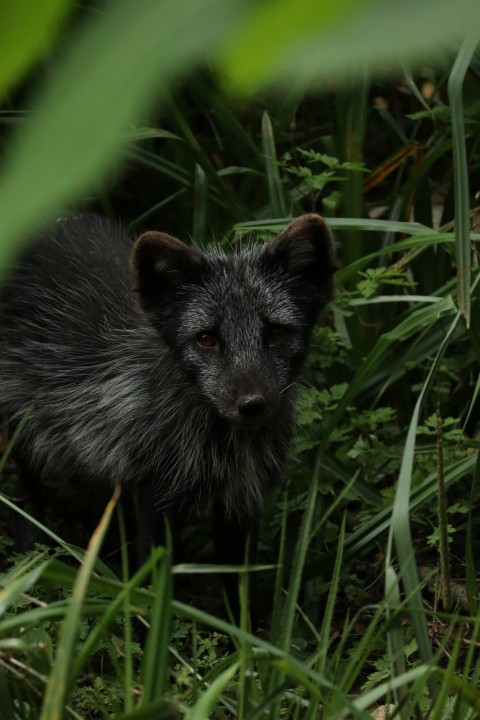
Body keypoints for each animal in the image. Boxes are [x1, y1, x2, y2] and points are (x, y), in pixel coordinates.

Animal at [0, 214, 336, 568]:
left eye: (276, 332)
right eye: (206, 339)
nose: (251, 404)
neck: (224, 448)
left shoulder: (243, 497)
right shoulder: (157, 491)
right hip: (26, 426)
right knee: (26, 491)